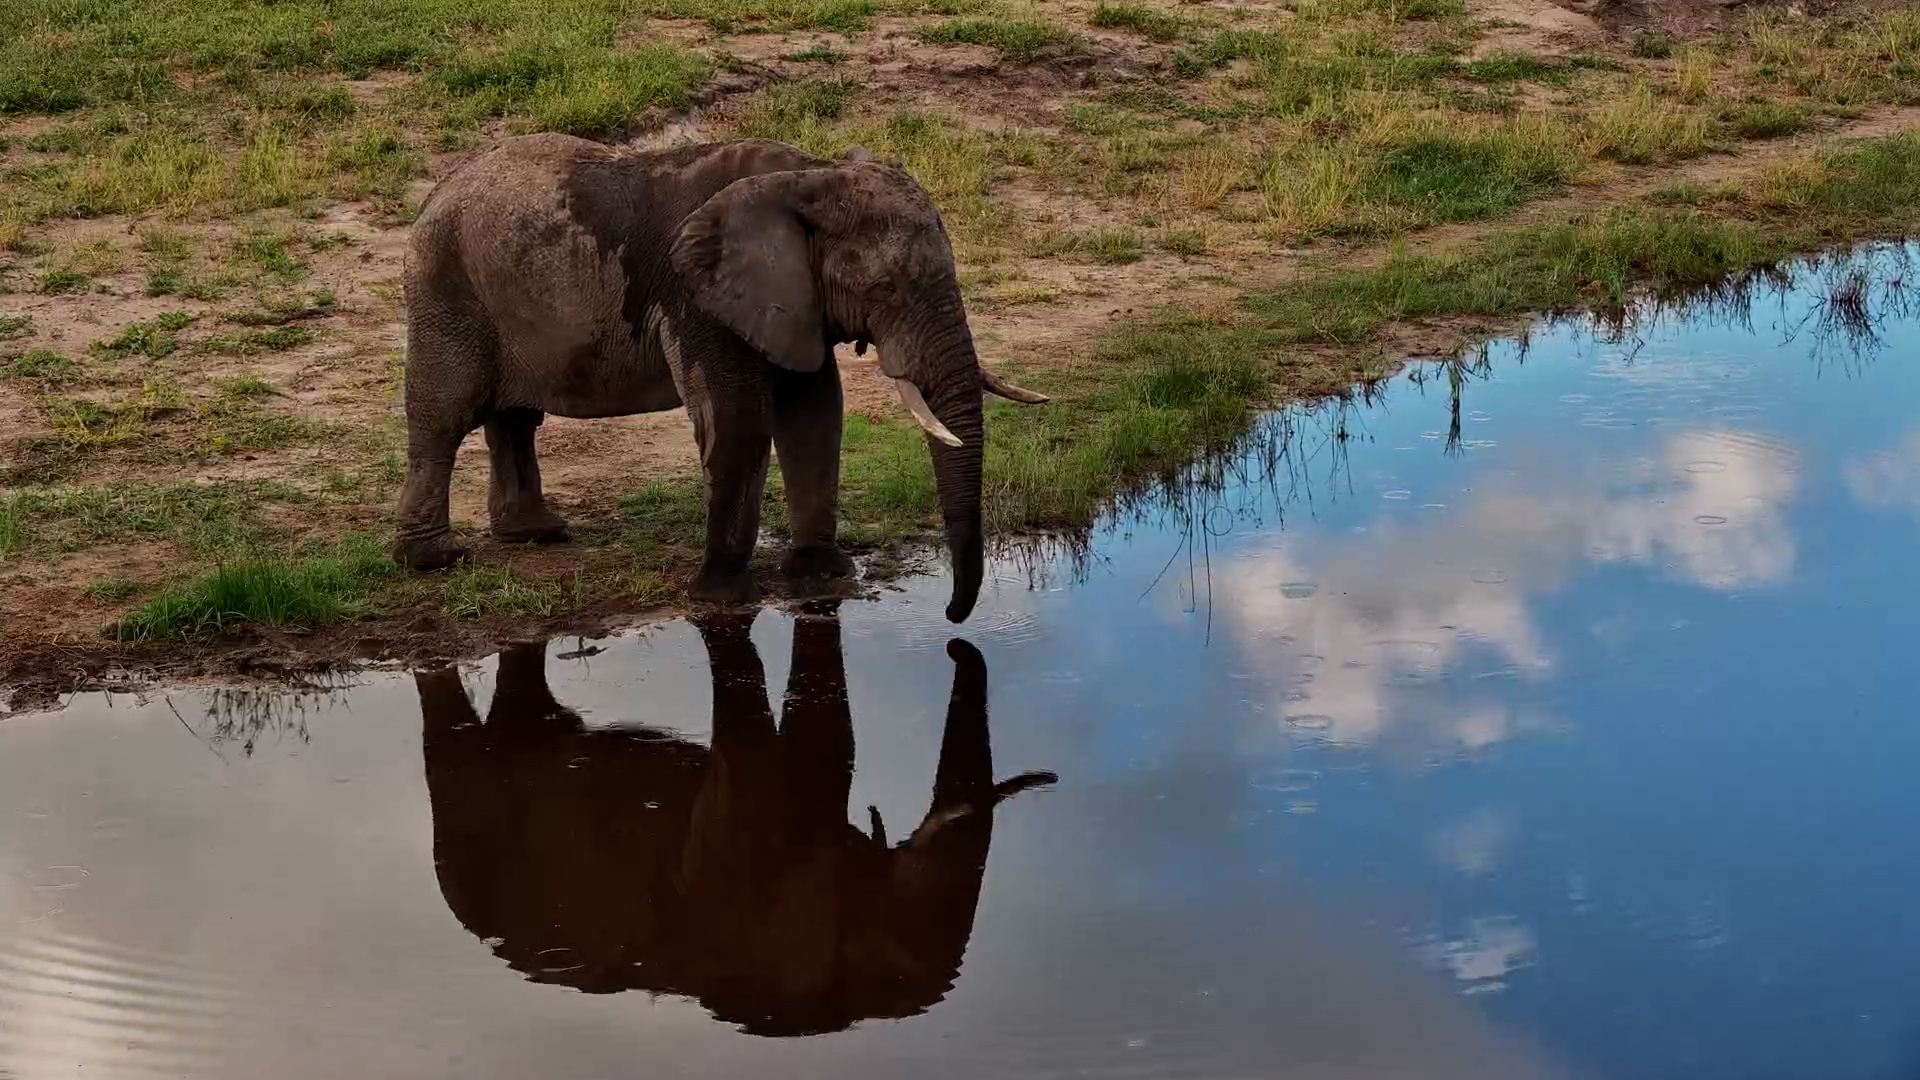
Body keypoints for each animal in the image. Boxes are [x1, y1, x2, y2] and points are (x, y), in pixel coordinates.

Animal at [395, 134, 1048, 623]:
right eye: (885, 289)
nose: (953, 617)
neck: (810, 173)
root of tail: (436, 191)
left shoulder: (792, 299)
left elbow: (815, 411)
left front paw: (820, 576)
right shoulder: (698, 296)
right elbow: (737, 416)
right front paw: (720, 594)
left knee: (514, 419)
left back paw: (534, 534)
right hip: (445, 288)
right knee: (444, 418)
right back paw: (435, 559)